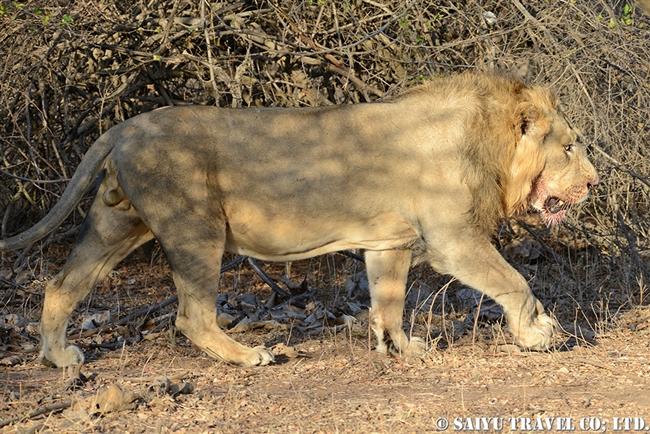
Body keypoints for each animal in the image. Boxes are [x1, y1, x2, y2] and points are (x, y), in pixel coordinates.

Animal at [0, 73, 596, 368]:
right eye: (569, 147)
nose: (593, 183)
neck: (486, 140)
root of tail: (125, 126)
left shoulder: (389, 243)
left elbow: (388, 301)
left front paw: (399, 349)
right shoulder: (453, 237)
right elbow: (515, 281)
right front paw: (539, 333)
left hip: (115, 223)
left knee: (61, 284)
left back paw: (57, 358)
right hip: (195, 230)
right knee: (191, 316)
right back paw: (249, 356)